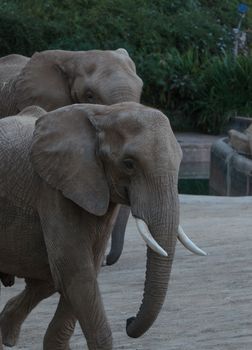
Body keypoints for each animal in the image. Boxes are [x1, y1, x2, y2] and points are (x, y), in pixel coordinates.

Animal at [0, 102, 205, 348]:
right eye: (128, 164)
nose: (128, 320)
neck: (103, 113)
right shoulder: (53, 189)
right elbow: (75, 271)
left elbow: (83, 269)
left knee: (44, 277)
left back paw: (7, 334)